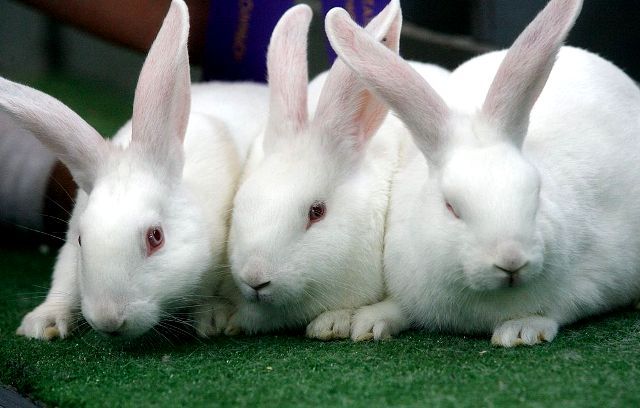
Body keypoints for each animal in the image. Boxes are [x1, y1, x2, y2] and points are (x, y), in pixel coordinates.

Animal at [4, 0, 269, 340]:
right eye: (81, 239)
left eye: (156, 237)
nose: (108, 320)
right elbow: (64, 276)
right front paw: (42, 323)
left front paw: (212, 317)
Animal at [327, 0, 640, 346]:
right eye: (451, 207)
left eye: (536, 195)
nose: (511, 261)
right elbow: (398, 307)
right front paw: (368, 323)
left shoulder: (593, 280)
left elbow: (560, 308)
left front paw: (521, 330)